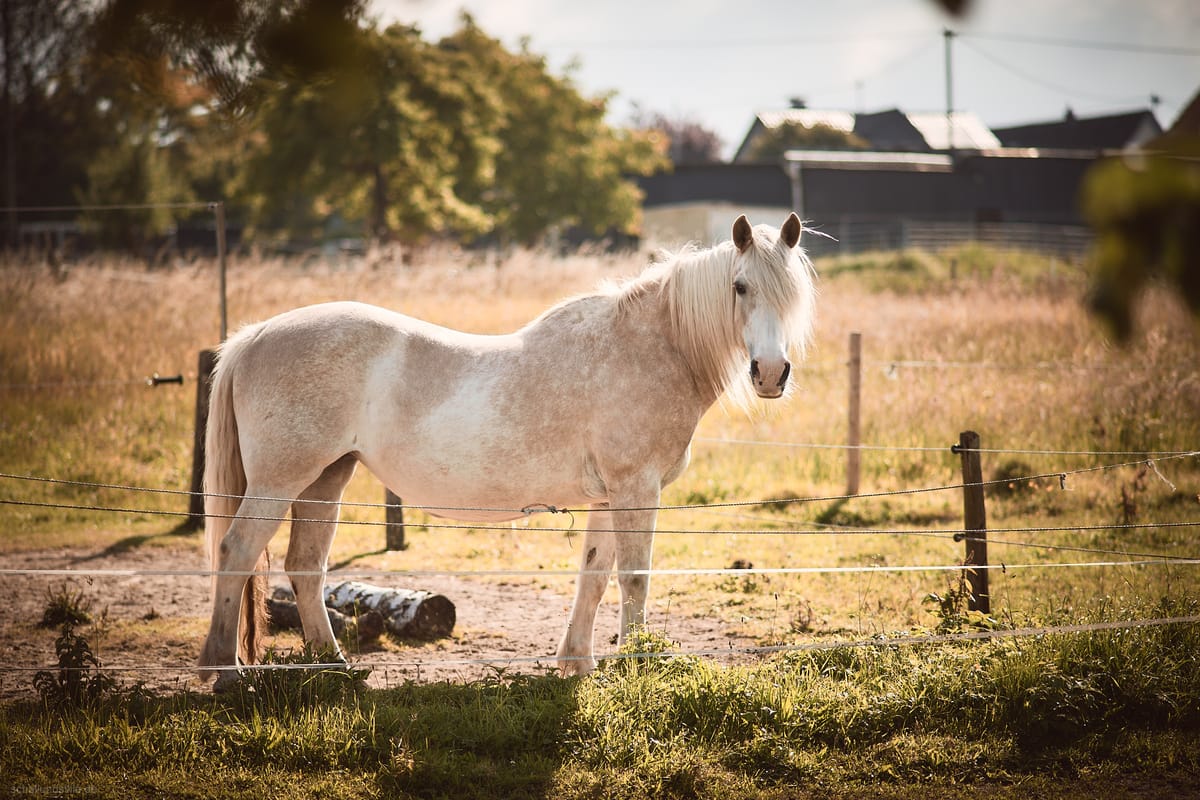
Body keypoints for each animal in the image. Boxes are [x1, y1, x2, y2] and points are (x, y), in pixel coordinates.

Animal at [197, 213, 817, 691]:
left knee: (306, 566)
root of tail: (254, 336)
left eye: (793, 293)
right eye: (740, 286)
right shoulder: (635, 488)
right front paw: (637, 665)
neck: (649, 347)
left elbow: (594, 576)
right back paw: (225, 672)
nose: (770, 373)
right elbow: (634, 578)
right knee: (236, 551)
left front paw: (577, 665)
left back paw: (334, 665)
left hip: (326, 478)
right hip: (280, 481)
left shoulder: (607, 498)